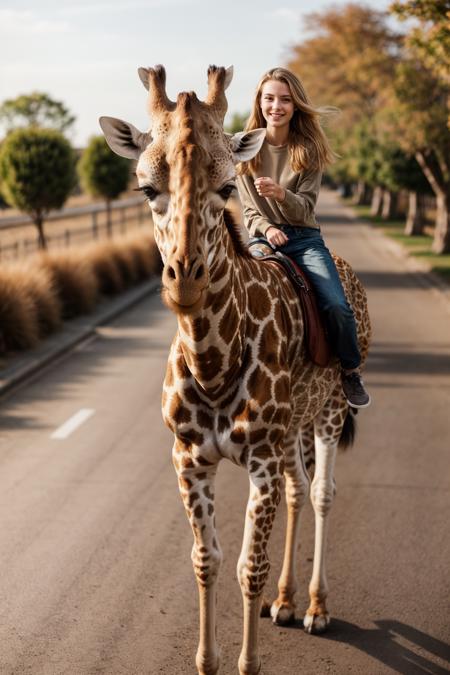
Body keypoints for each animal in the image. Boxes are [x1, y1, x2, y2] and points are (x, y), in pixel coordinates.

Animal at [100, 64, 370, 675]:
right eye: (145, 188)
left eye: (227, 185)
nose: (185, 279)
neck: (212, 363)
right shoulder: (189, 458)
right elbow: (207, 559)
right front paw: (209, 659)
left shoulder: (259, 461)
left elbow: (250, 565)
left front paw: (249, 662)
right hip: (294, 425)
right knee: (300, 489)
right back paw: (287, 603)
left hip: (330, 412)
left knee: (323, 493)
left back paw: (317, 608)